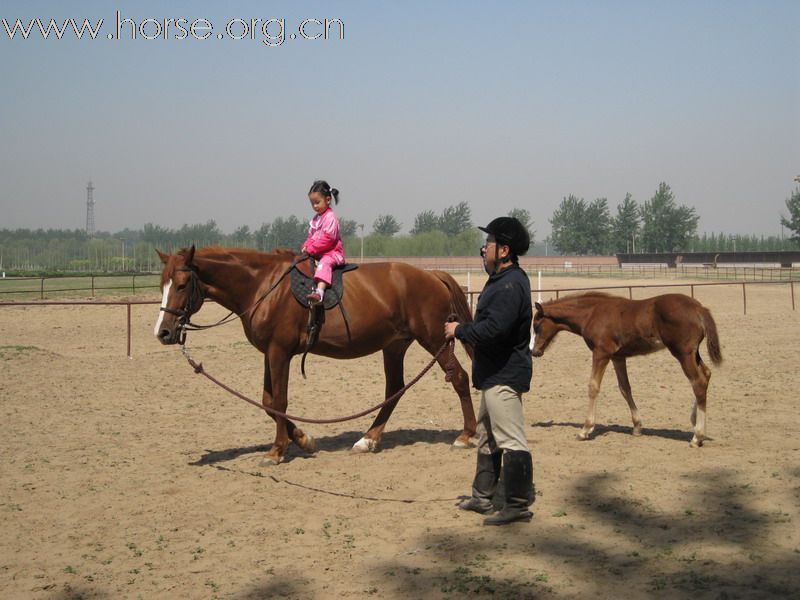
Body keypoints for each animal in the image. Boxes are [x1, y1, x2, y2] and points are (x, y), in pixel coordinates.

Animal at [155, 246, 476, 466]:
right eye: (162, 285)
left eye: (181, 285)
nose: (164, 332)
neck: (263, 286)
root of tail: (432, 275)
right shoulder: (269, 353)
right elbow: (268, 403)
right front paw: (304, 440)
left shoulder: (279, 351)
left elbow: (279, 402)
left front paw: (277, 450)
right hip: (395, 346)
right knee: (394, 390)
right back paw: (368, 439)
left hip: (435, 339)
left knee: (460, 378)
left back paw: (466, 435)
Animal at [536, 292, 720, 448]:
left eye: (536, 325)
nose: (534, 351)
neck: (592, 313)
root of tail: (699, 308)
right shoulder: (618, 357)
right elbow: (625, 388)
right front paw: (637, 427)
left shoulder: (601, 353)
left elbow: (593, 387)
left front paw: (585, 429)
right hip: (693, 353)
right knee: (706, 375)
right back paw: (695, 422)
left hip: (683, 353)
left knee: (697, 382)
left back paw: (697, 437)